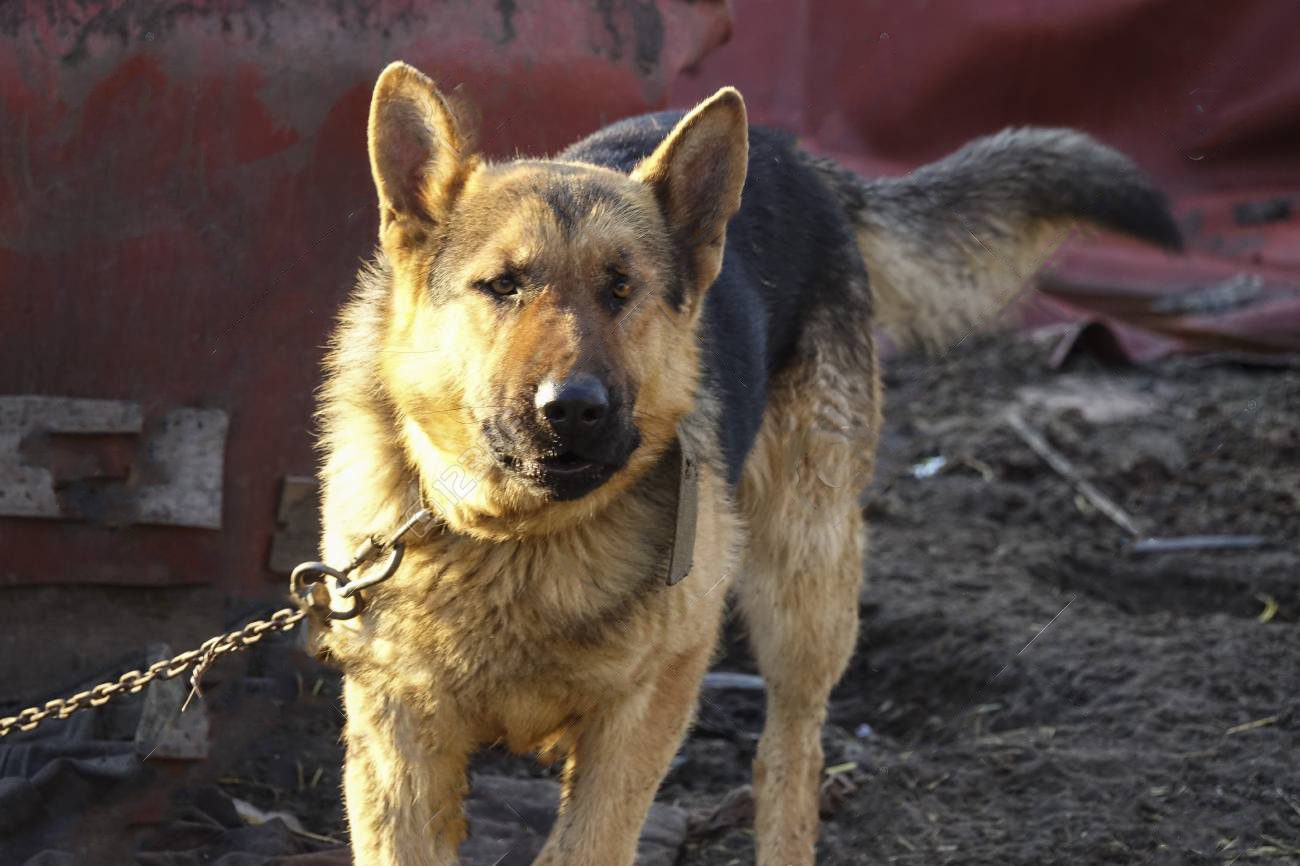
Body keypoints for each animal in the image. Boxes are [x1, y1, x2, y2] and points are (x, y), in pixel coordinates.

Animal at [309, 62, 1185, 863]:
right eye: (503, 286)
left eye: (620, 288)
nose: (575, 409)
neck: (515, 537)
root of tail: (796, 154)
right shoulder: (397, 745)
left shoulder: (646, 708)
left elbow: (591, 840)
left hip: (805, 580)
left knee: (788, 759)